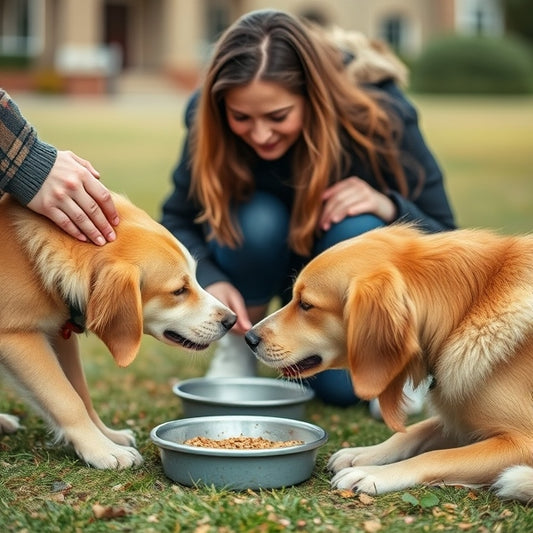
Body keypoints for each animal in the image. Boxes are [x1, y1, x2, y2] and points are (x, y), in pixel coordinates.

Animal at [1, 193, 235, 468]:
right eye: (179, 291)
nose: (232, 320)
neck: (35, 259)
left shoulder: (60, 333)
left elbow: (81, 392)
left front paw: (107, 436)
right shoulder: (18, 338)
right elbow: (67, 399)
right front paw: (102, 450)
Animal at [247, 225, 532, 502]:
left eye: (306, 305)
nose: (249, 337)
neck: (464, 312)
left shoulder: (521, 442)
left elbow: (437, 455)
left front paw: (372, 474)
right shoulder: (457, 419)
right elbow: (412, 432)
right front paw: (363, 454)